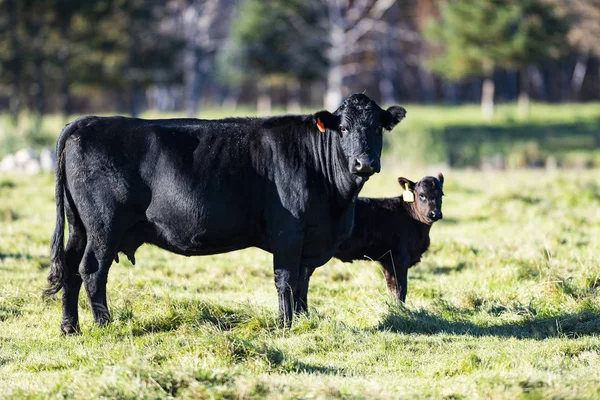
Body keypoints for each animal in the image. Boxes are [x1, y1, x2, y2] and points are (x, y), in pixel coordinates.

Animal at [44, 94, 406, 334]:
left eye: (378, 128)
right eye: (342, 129)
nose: (364, 162)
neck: (337, 205)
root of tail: (87, 121)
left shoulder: (310, 242)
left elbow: (303, 282)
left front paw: (304, 320)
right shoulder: (288, 234)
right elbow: (287, 281)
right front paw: (285, 326)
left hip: (80, 226)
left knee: (70, 269)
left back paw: (70, 328)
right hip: (104, 226)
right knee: (92, 270)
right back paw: (104, 325)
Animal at [302, 173, 442, 306]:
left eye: (441, 194)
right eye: (422, 195)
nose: (435, 213)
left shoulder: (388, 262)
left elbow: (391, 289)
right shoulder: (400, 259)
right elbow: (400, 290)